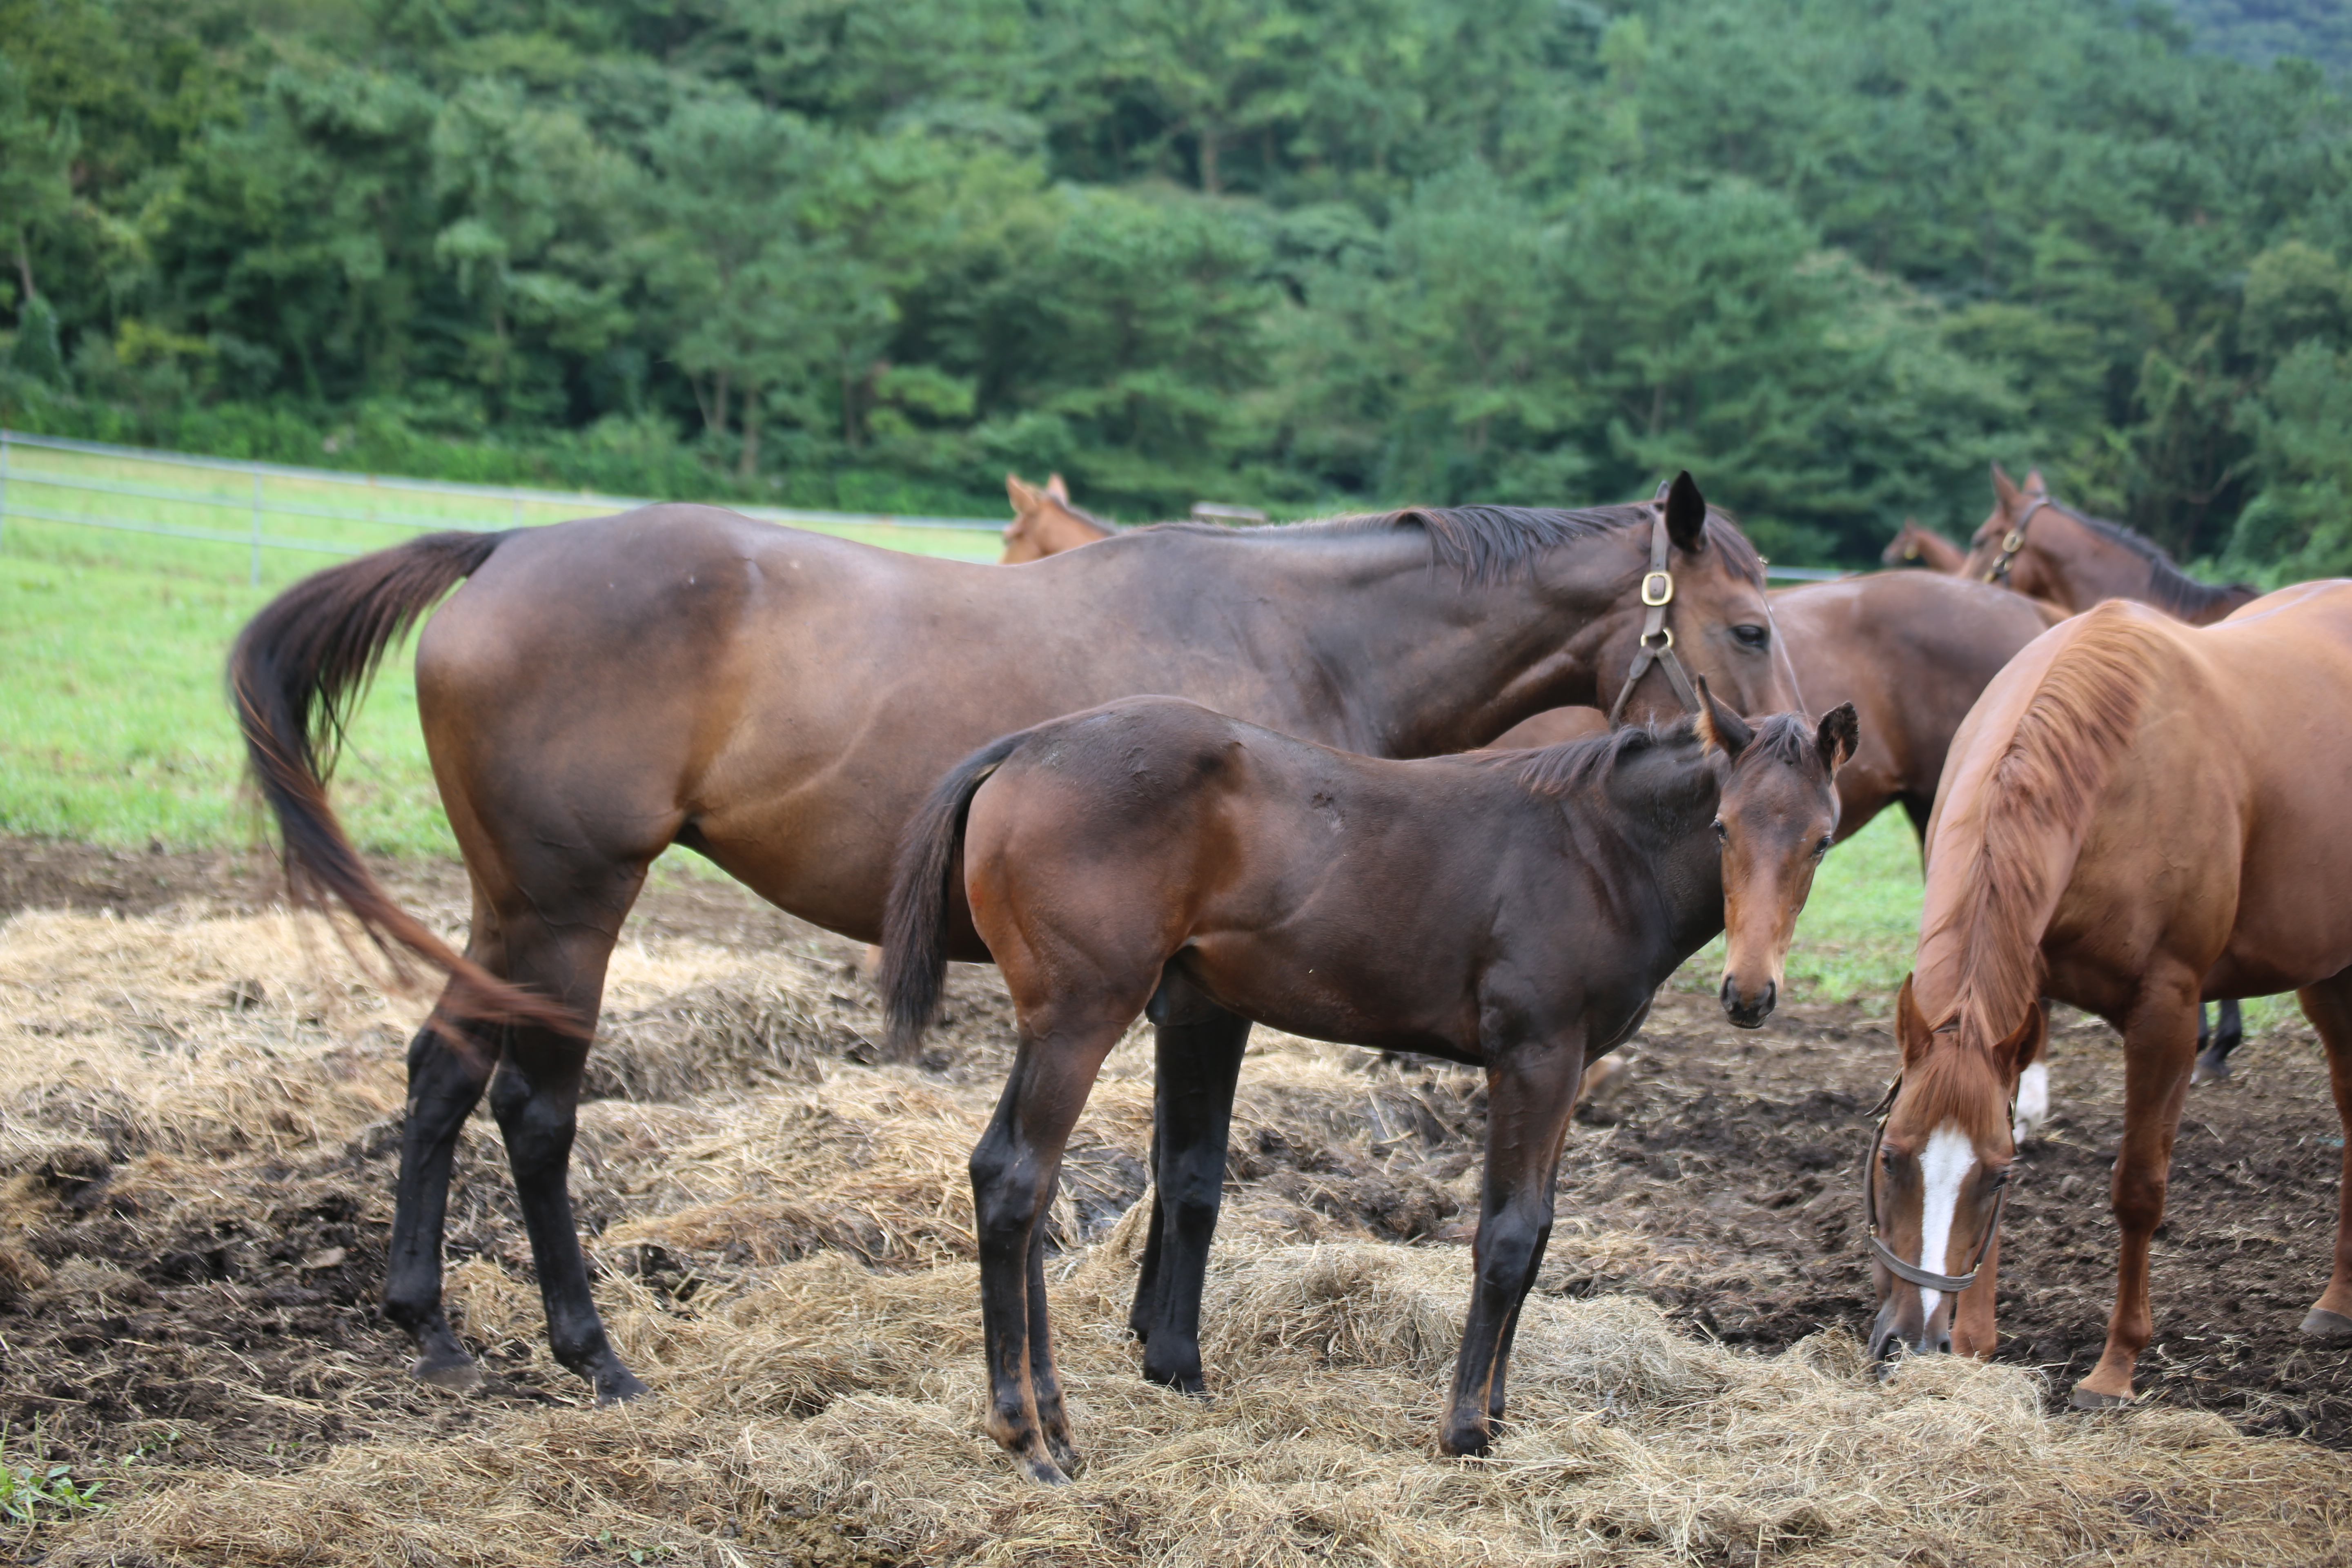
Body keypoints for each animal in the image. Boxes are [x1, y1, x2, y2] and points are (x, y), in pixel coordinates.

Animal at [229, 472, 1787, 1401]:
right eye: (1755, 626)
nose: (1781, 761)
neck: (1303, 636)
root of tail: (506, 549)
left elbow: (1170, 1167)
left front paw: (1146, 1344)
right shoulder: (1204, 992)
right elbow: (1198, 1173)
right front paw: (1174, 1362)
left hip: (511, 913)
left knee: (439, 1075)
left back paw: (430, 1323)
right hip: (569, 910)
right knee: (536, 1110)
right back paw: (592, 1351)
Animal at [884, 691, 1853, 1486]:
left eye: (1822, 841)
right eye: (1723, 828)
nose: (1749, 994)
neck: (1596, 851)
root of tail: (1024, 747)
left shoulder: (1572, 1066)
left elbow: (1539, 1233)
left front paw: (1499, 1415)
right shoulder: (1533, 1056)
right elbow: (1507, 1237)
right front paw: (1465, 1431)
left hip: (1065, 1020)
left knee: (1017, 1178)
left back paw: (1052, 1421)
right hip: (1083, 1014)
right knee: (1015, 1178)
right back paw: (1028, 1438)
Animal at [1862, 588, 2352, 1410]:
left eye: (1991, 1178)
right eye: (1892, 1157)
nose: (1912, 1343)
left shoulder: (2167, 1015)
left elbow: (2138, 1191)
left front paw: (2115, 1368)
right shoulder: (2022, 1006)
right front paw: (1973, 1349)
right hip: (2328, 977)